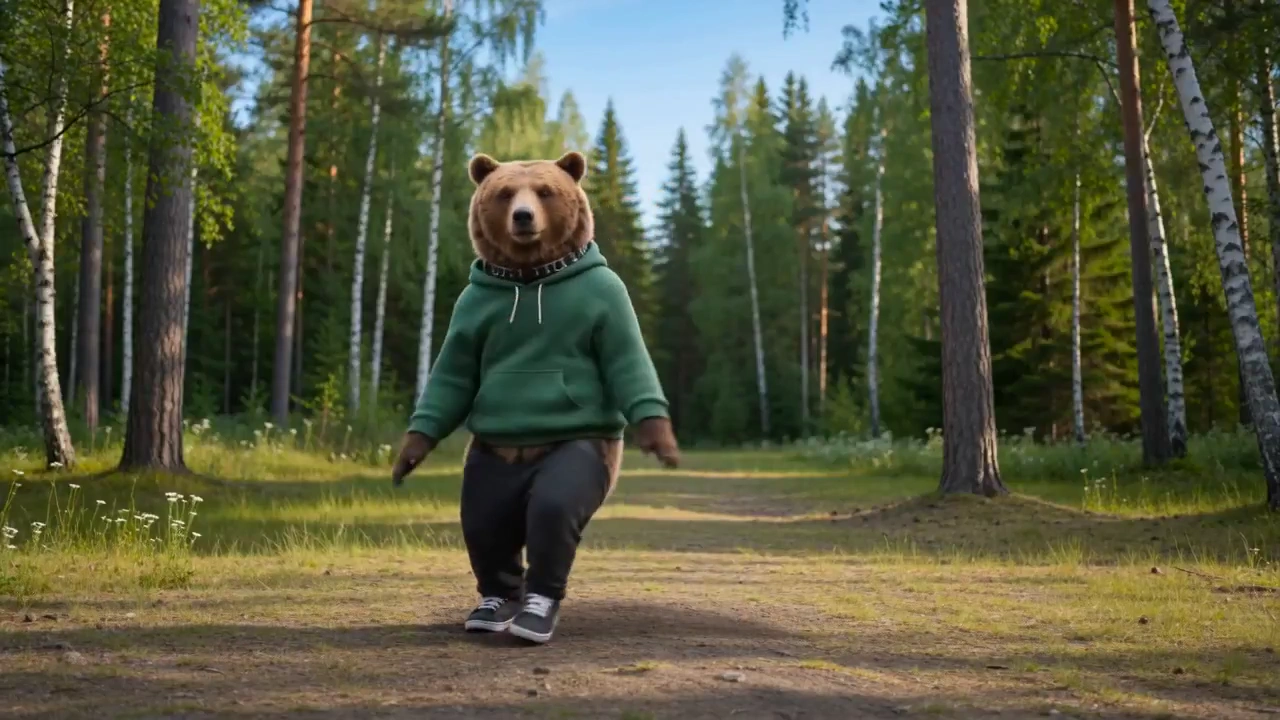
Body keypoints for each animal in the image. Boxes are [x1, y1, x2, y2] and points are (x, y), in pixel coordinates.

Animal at [391, 150, 680, 645]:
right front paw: (408, 456)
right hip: (491, 465)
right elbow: (453, 371)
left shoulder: (607, 298)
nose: (523, 217)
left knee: (550, 511)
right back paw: (494, 605)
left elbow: (625, 355)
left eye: (544, 191)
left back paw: (533, 614)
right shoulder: (470, 310)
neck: (529, 279)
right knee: (486, 522)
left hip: (580, 455)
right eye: (506, 193)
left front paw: (662, 442)